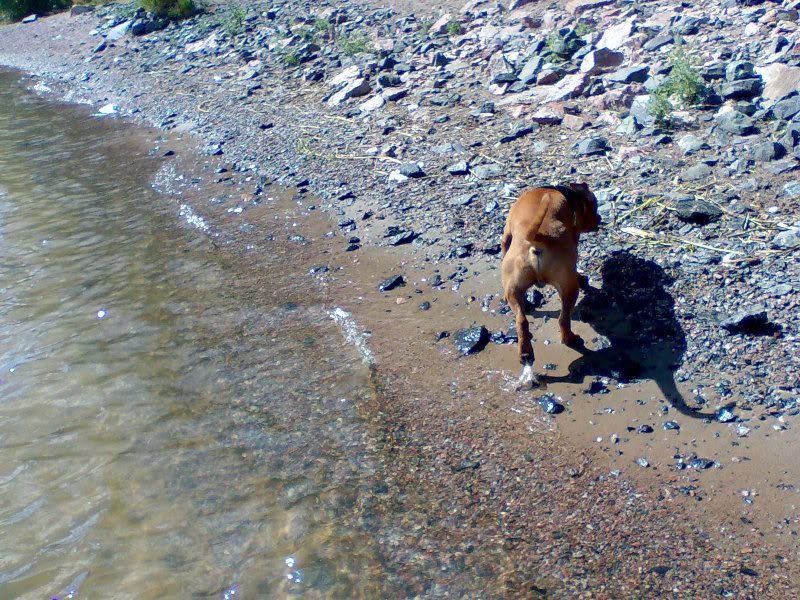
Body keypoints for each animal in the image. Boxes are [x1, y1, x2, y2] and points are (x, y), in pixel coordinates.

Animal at [500, 184, 600, 390]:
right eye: (594, 205)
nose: (600, 219)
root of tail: (537, 238)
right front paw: (582, 278)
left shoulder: (506, 233)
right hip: (569, 288)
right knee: (563, 319)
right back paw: (570, 338)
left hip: (514, 289)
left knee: (521, 320)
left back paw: (526, 352)